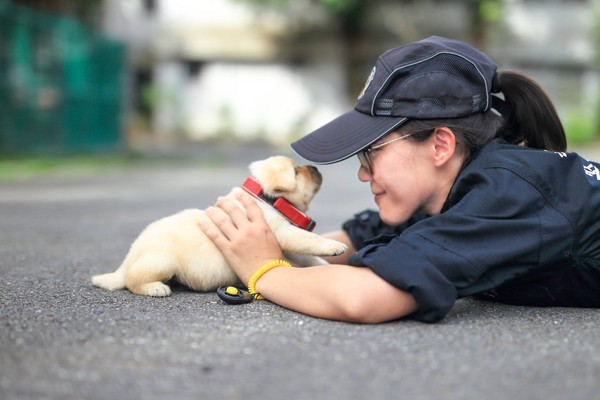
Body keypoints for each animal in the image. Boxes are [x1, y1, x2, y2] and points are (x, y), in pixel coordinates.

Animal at [91, 156, 350, 296]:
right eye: (296, 171)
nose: (315, 168)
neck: (266, 198)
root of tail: (125, 263)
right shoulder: (285, 233)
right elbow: (310, 240)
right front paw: (333, 246)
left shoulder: (289, 245)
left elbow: (309, 257)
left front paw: (326, 262)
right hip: (160, 261)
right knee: (133, 280)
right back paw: (155, 288)